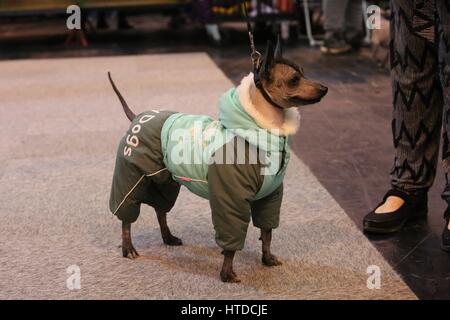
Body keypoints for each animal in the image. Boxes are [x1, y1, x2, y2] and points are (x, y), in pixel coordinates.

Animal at [108, 38, 326, 282]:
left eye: (304, 72)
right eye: (294, 79)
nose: (325, 88)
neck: (263, 130)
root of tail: (138, 116)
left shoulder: (269, 197)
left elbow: (267, 232)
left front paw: (267, 258)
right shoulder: (231, 199)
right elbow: (232, 242)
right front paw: (227, 272)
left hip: (165, 183)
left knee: (160, 210)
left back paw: (168, 237)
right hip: (132, 177)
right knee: (126, 217)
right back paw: (128, 248)